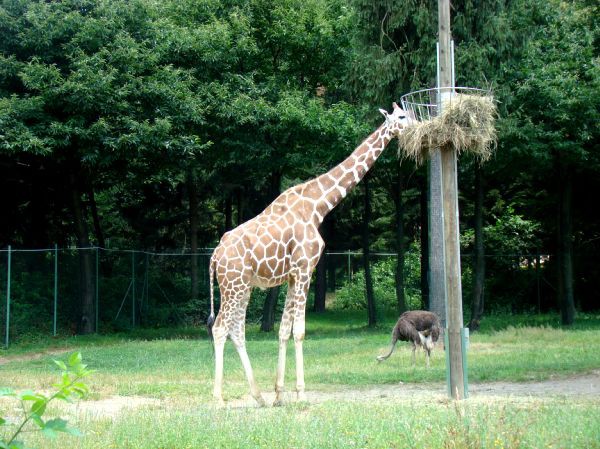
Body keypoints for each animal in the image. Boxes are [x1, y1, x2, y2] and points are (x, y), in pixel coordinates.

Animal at [209, 102, 410, 406]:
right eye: (402, 116)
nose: (417, 127)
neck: (318, 206)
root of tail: (214, 257)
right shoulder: (305, 269)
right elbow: (299, 331)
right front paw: (301, 392)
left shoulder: (293, 276)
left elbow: (283, 330)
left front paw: (279, 394)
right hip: (233, 285)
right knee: (221, 328)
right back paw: (219, 398)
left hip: (242, 286)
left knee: (236, 329)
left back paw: (259, 396)